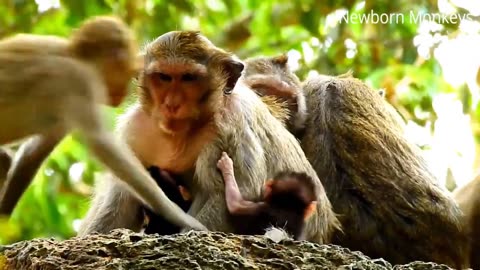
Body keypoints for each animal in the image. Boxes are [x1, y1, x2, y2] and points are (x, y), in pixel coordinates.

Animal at [0, 16, 205, 232]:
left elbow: (33, 153)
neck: (74, 55)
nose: (126, 90)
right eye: (129, 71)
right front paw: (183, 218)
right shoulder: (79, 82)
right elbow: (106, 148)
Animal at [79, 31, 340, 243]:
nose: (172, 104)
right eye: (164, 77)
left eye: (188, 78)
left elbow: (232, 195)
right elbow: (125, 194)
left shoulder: (230, 126)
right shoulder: (135, 131)